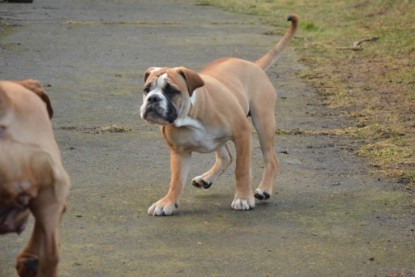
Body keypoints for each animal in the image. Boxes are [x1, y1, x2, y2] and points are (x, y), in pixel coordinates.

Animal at [142, 15, 300, 215]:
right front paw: (168, 202)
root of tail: (253, 65)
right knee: (226, 156)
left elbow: (242, 170)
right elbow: (176, 180)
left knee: (271, 159)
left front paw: (243, 198)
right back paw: (206, 178)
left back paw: (264, 189)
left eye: (171, 90)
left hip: (263, 122)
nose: (153, 98)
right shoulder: (179, 152)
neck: (190, 116)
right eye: (146, 89)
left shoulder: (242, 134)